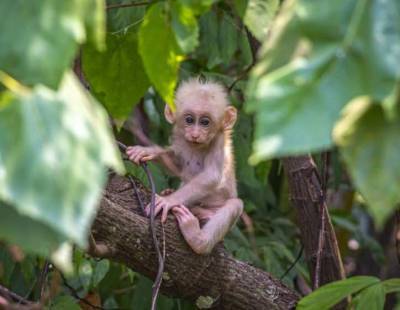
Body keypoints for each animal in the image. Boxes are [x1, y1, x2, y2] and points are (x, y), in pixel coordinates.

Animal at [127, 77, 244, 254]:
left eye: (205, 122)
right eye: (189, 120)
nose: (195, 134)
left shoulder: (219, 141)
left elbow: (212, 176)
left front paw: (168, 201)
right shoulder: (181, 138)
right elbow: (178, 166)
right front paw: (148, 151)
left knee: (234, 205)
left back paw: (197, 238)